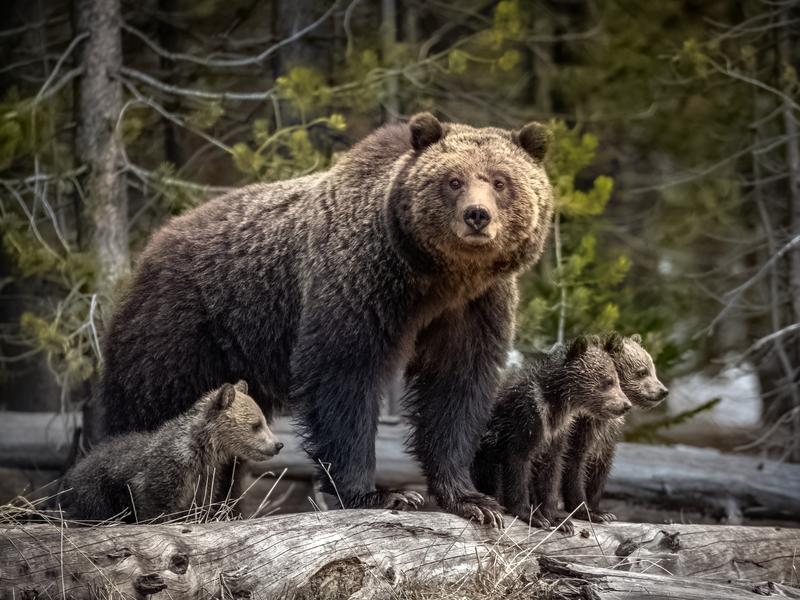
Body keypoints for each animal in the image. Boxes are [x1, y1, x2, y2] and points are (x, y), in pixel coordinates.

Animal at [58, 382, 282, 524]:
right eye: (256, 425)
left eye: (263, 421)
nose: (278, 444)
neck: (199, 453)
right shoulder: (160, 477)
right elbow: (154, 509)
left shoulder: (205, 481)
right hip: (97, 492)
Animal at [98, 113, 552, 524]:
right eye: (453, 180)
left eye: (500, 181)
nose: (477, 215)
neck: (435, 279)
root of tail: (153, 247)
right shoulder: (361, 283)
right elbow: (344, 379)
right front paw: (380, 494)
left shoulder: (474, 308)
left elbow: (456, 389)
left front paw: (472, 499)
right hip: (183, 331)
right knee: (152, 410)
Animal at [468, 336, 632, 532]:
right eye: (608, 381)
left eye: (617, 380)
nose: (626, 405)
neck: (554, 407)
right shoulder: (523, 421)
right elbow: (518, 465)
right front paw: (533, 515)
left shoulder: (557, 434)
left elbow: (551, 472)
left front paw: (558, 519)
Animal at [560, 330, 672, 524]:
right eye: (642, 372)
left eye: (653, 369)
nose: (663, 391)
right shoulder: (579, 429)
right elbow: (574, 462)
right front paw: (587, 511)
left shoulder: (606, 436)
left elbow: (600, 469)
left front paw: (602, 511)